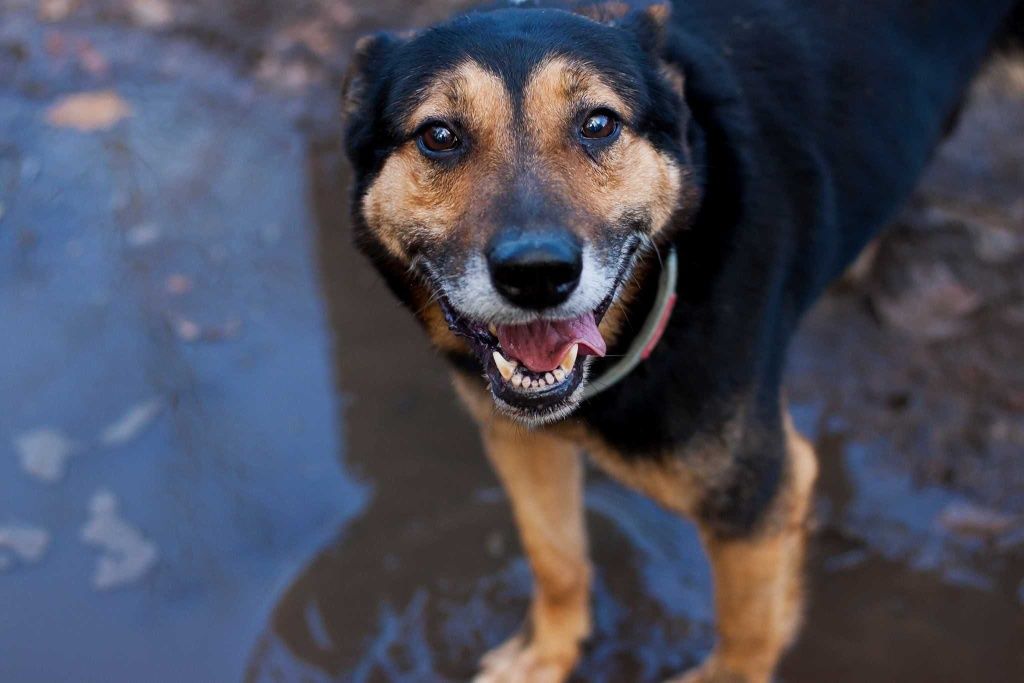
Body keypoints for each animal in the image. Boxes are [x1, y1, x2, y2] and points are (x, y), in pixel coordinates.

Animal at [339, 0, 1019, 679]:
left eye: (598, 124)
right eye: (439, 136)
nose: (537, 274)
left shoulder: (754, 498)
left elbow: (746, 633)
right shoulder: (521, 440)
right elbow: (556, 558)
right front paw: (548, 653)